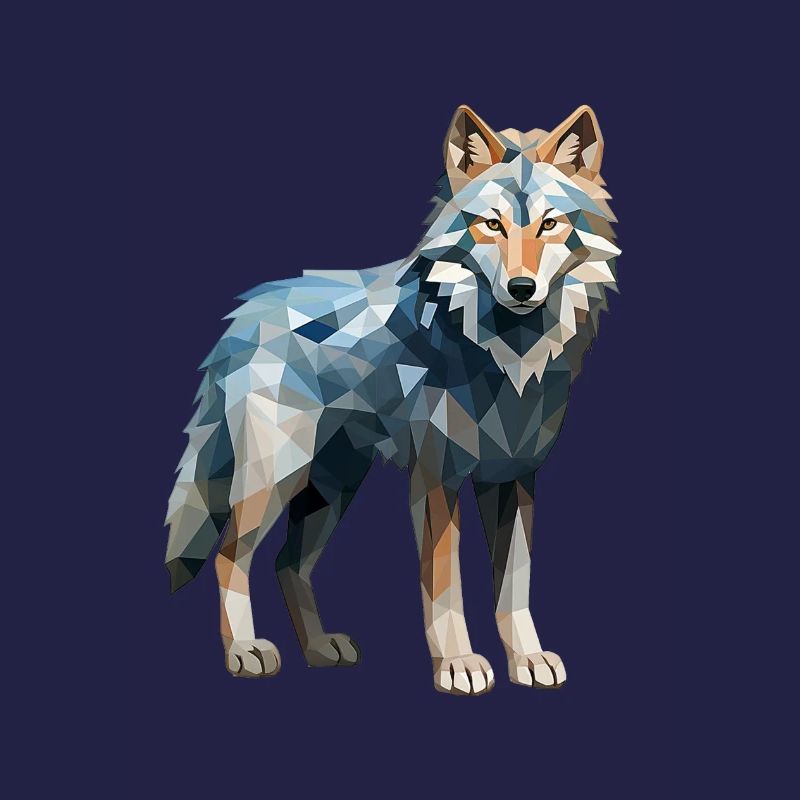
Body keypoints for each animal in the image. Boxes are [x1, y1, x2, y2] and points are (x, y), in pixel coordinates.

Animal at [165, 105, 619, 695]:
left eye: (550, 224)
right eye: (491, 225)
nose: (522, 289)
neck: (507, 356)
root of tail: (244, 314)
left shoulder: (515, 477)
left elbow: (513, 589)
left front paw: (528, 659)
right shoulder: (437, 478)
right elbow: (446, 585)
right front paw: (459, 665)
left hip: (332, 489)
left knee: (288, 564)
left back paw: (320, 648)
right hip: (276, 479)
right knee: (229, 557)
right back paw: (245, 650)